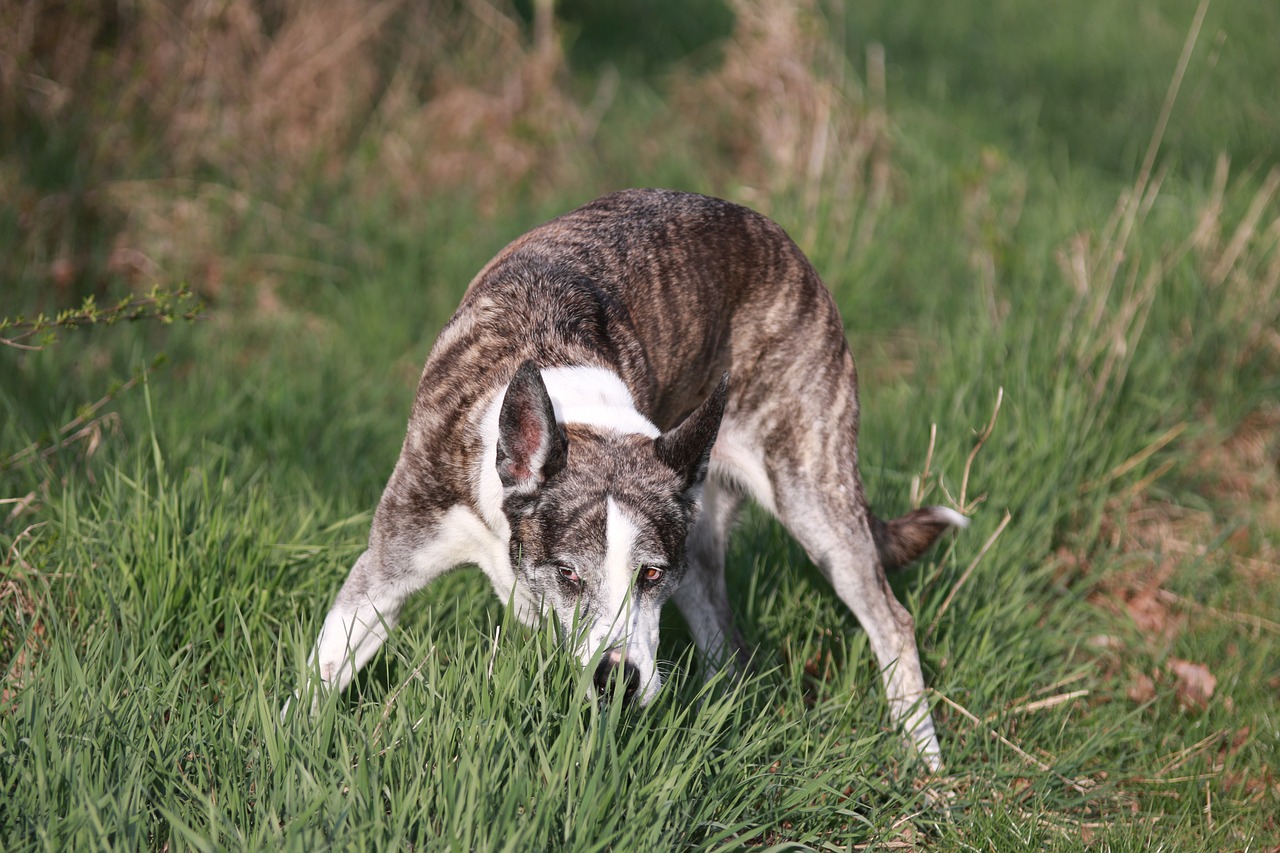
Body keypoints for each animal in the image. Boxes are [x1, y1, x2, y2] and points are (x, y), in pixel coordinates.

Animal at [296, 189, 962, 768]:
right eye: (568, 574)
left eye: (649, 574)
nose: (617, 679)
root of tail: (777, 237)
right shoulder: (391, 563)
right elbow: (324, 670)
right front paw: (292, 758)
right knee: (725, 636)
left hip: (809, 485)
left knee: (890, 620)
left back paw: (926, 769)